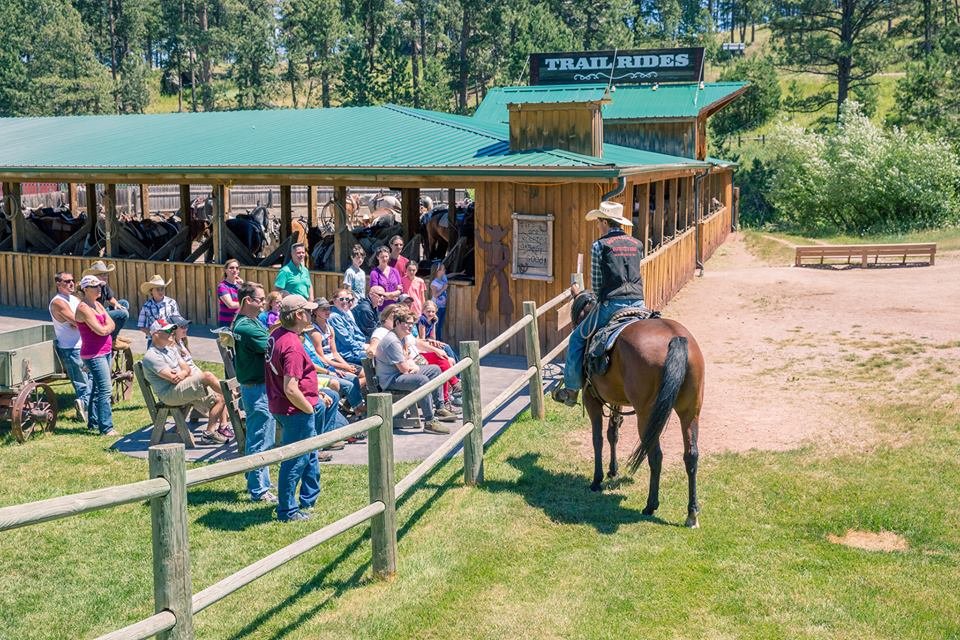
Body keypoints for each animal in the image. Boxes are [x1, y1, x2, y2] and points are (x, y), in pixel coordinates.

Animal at [568, 292, 704, 528]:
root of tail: (676, 338)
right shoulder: (616, 400)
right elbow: (613, 433)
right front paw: (613, 470)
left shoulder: (592, 399)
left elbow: (598, 439)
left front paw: (597, 479)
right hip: (690, 411)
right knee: (691, 455)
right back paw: (692, 513)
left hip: (646, 416)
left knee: (656, 456)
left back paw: (650, 506)